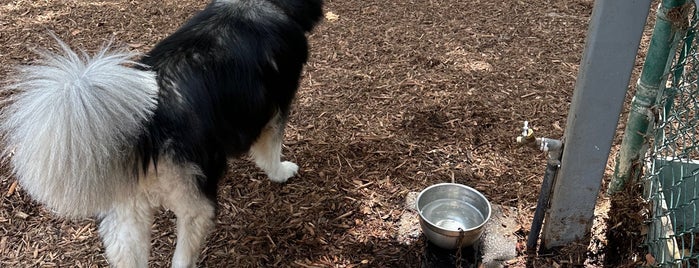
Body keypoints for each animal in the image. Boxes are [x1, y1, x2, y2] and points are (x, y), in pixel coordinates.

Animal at [0, 1, 322, 266]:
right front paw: (280, 172)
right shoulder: (275, 108)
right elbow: (270, 150)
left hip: (128, 214)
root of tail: (143, 127)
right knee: (182, 256)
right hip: (196, 208)